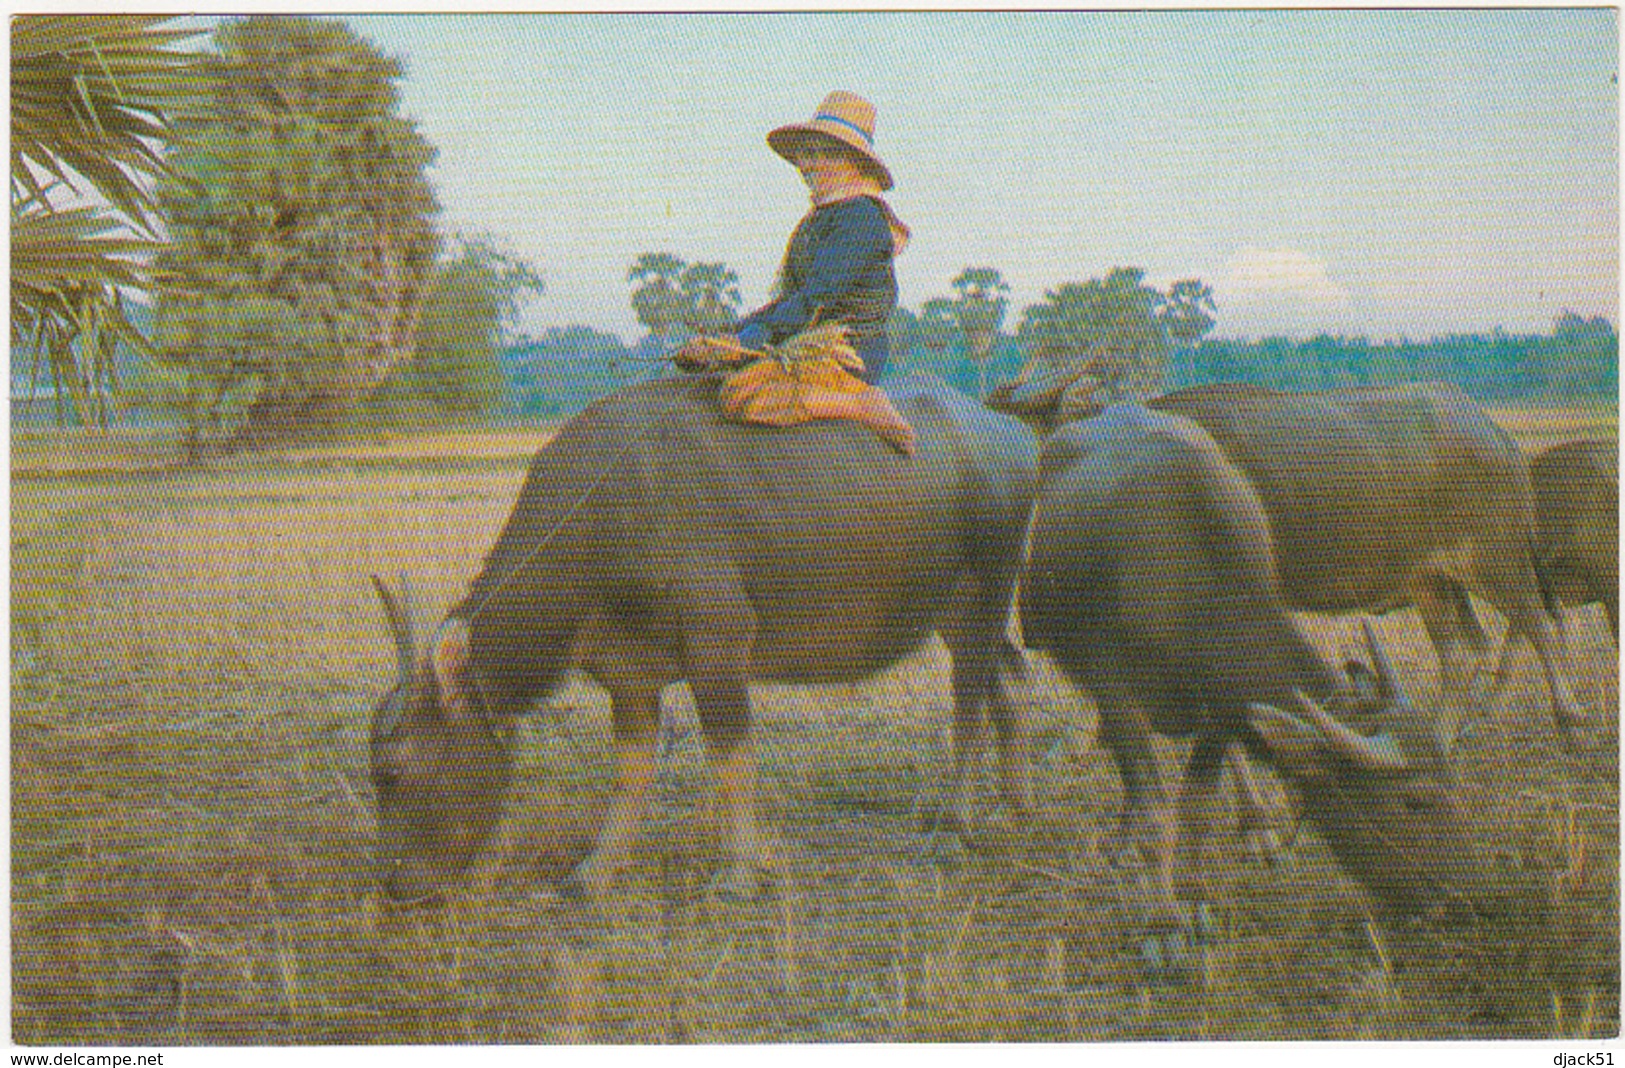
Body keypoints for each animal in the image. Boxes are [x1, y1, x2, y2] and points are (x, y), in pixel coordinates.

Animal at [367, 370, 1033, 903]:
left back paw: (952, 828)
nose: (394, 884)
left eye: (391, 772)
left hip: (989, 591)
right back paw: (1014, 807)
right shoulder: (629, 677)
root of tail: (1011, 430)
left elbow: (732, 759)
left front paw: (738, 872)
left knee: (969, 708)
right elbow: (632, 773)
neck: (611, 509)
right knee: (1004, 688)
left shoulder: (719, 647)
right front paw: (594, 870)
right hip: (957, 616)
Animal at [988, 375, 1586, 751]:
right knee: (1465, 651)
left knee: (1541, 628)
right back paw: (1440, 740)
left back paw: (1571, 722)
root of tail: (1496, 434)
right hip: (1431, 581)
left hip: (1496, 560)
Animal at [1027, 404, 1488, 955]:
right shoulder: (1116, 693)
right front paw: (1163, 926)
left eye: (1453, 780)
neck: (1185, 580)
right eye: (1414, 799)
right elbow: (1155, 814)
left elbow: (1197, 806)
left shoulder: (1223, 706)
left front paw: (1194, 899)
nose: (1471, 897)